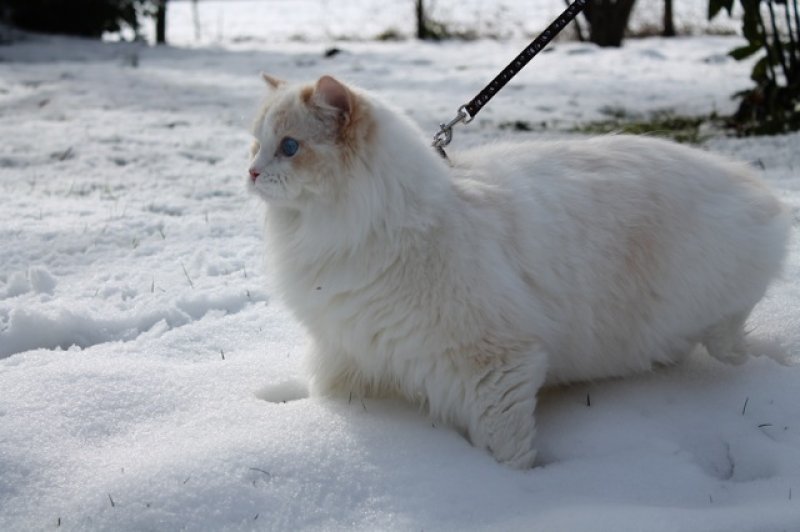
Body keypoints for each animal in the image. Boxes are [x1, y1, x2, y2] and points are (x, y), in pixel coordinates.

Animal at [247, 72, 792, 468]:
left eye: (289, 147)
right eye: (254, 145)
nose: (250, 173)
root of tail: (754, 187)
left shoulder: (498, 364)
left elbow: (506, 447)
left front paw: (519, 486)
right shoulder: (348, 349)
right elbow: (328, 393)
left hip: (714, 305)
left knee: (730, 338)